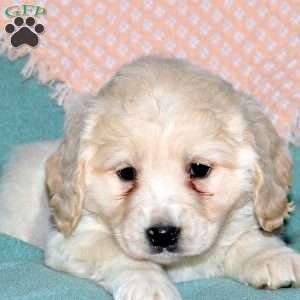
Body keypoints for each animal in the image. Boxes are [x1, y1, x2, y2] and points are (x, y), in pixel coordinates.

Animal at [0, 56, 300, 300]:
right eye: (126, 173)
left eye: (199, 169)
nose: (162, 234)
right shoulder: (73, 240)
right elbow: (118, 253)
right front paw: (148, 284)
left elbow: (246, 237)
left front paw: (272, 256)